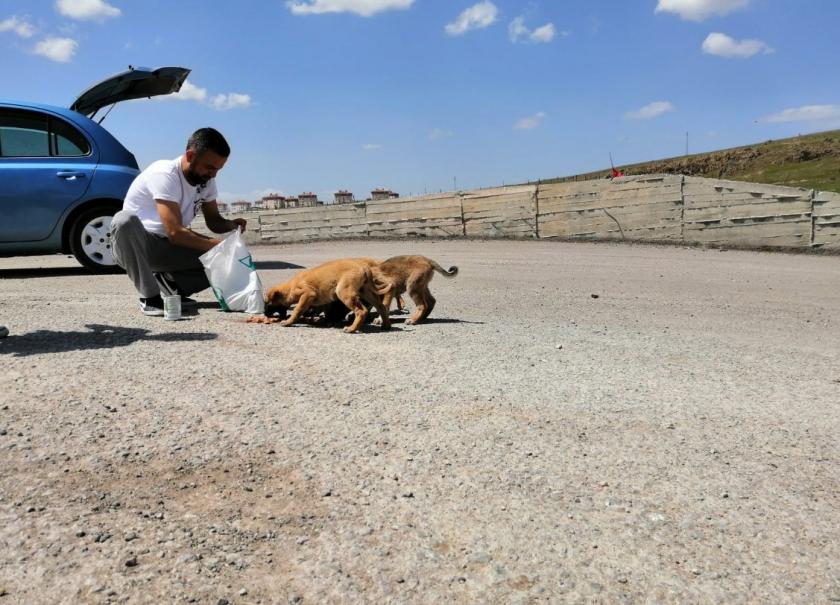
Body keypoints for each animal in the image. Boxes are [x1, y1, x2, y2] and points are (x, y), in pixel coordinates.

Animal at [264, 255, 392, 330]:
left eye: (267, 304)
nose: (264, 314)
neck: (290, 287)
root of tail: (364, 266)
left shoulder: (307, 294)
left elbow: (297, 309)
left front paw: (288, 322)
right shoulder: (325, 301)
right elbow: (326, 311)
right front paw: (326, 321)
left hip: (344, 292)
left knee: (361, 311)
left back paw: (351, 329)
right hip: (366, 292)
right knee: (381, 307)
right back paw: (386, 325)